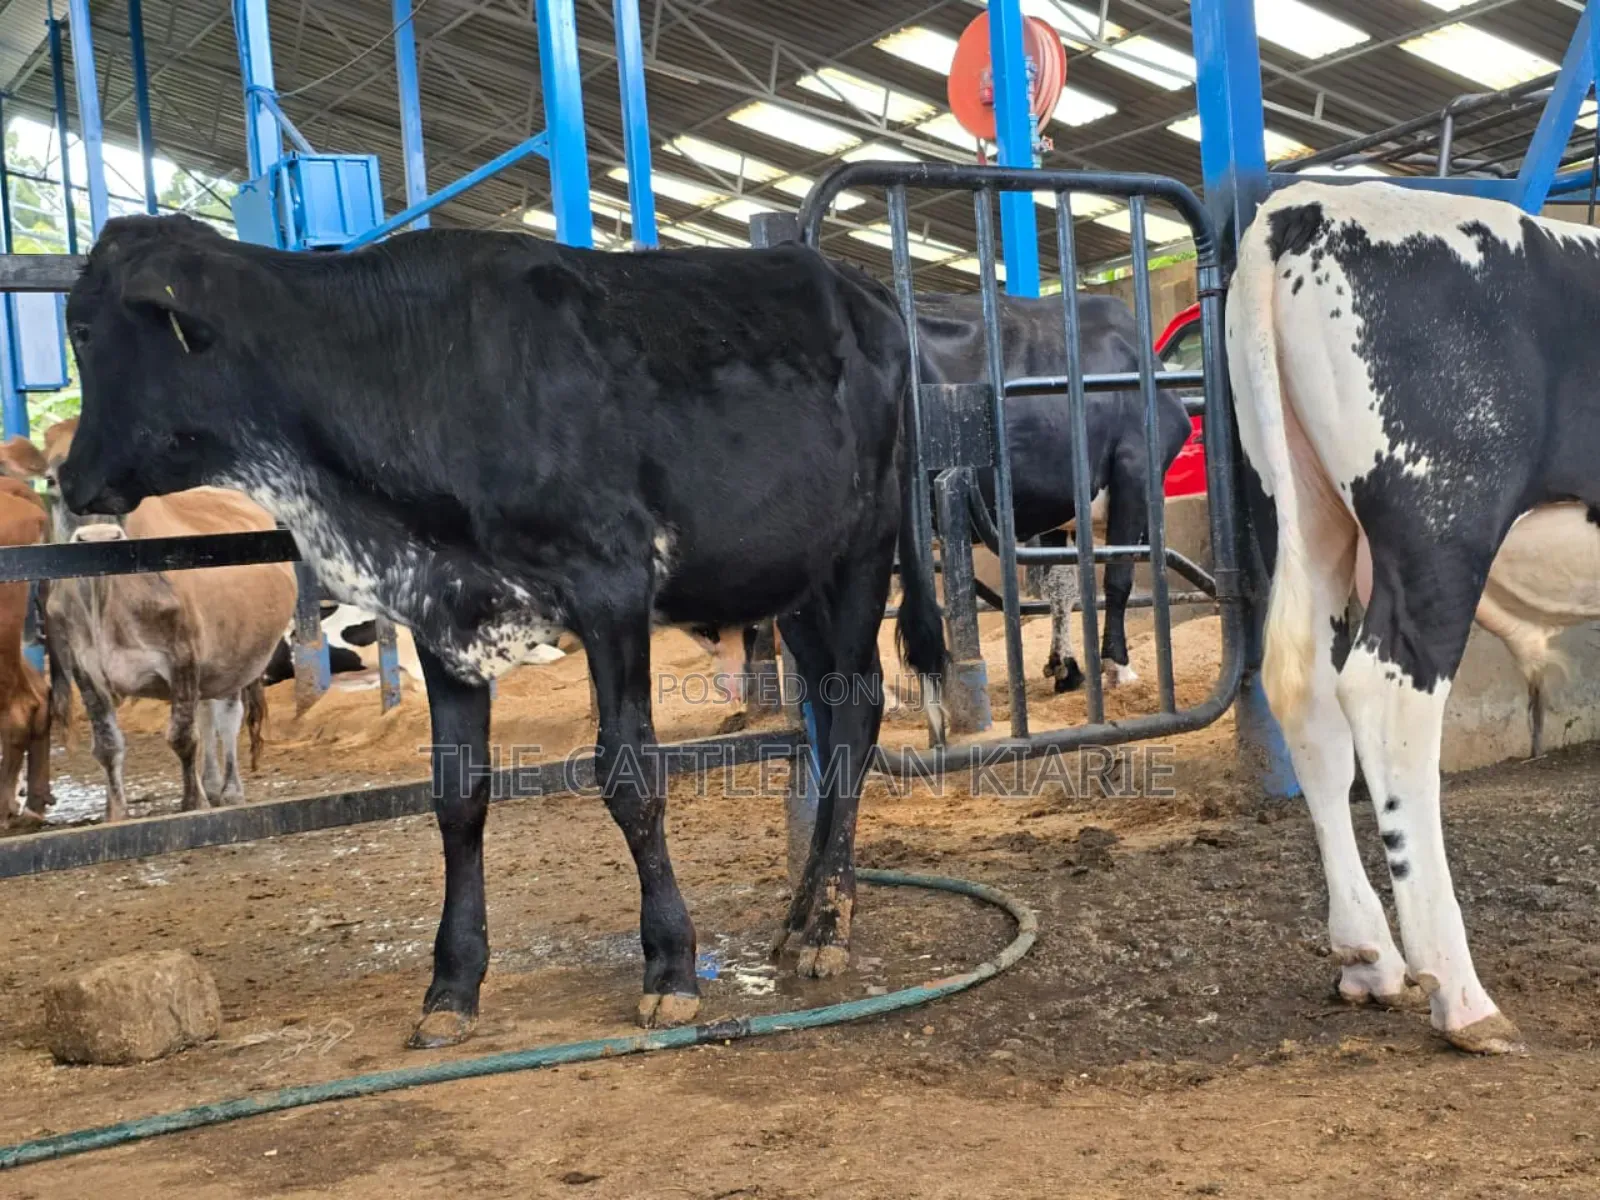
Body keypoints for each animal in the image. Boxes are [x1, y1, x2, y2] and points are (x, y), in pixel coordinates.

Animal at [0, 420, 297, 820]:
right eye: (53, 480)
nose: (99, 537)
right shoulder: (83, 668)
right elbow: (108, 744)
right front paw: (116, 814)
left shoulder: (184, 657)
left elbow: (183, 736)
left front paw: (192, 803)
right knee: (208, 714)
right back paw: (212, 783)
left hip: (237, 658)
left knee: (226, 717)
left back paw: (229, 789)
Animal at [56, 213, 944, 1049]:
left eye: (84, 329)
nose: (69, 479)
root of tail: (854, 281)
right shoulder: (442, 607)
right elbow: (458, 793)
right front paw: (452, 988)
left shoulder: (612, 583)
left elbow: (630, 774)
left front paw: (671, 965)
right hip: (795, 580)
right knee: (827, 713)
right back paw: (801, 916)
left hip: (863, 549)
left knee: (857, 707)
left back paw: (826, 924)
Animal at [915, 292, 1191, 692]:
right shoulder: (1136, 467)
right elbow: (1118, 577)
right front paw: (1117, 665)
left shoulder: (1059, 507)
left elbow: (1062, 586)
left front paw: (1066, 666)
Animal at [1225, 177, 1600, 1056]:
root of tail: (1306, 203)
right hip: (1439, 519)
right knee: (1389, 701)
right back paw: (1462, 997)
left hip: (1300, 508)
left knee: (1305, 694)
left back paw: (1368, 956)